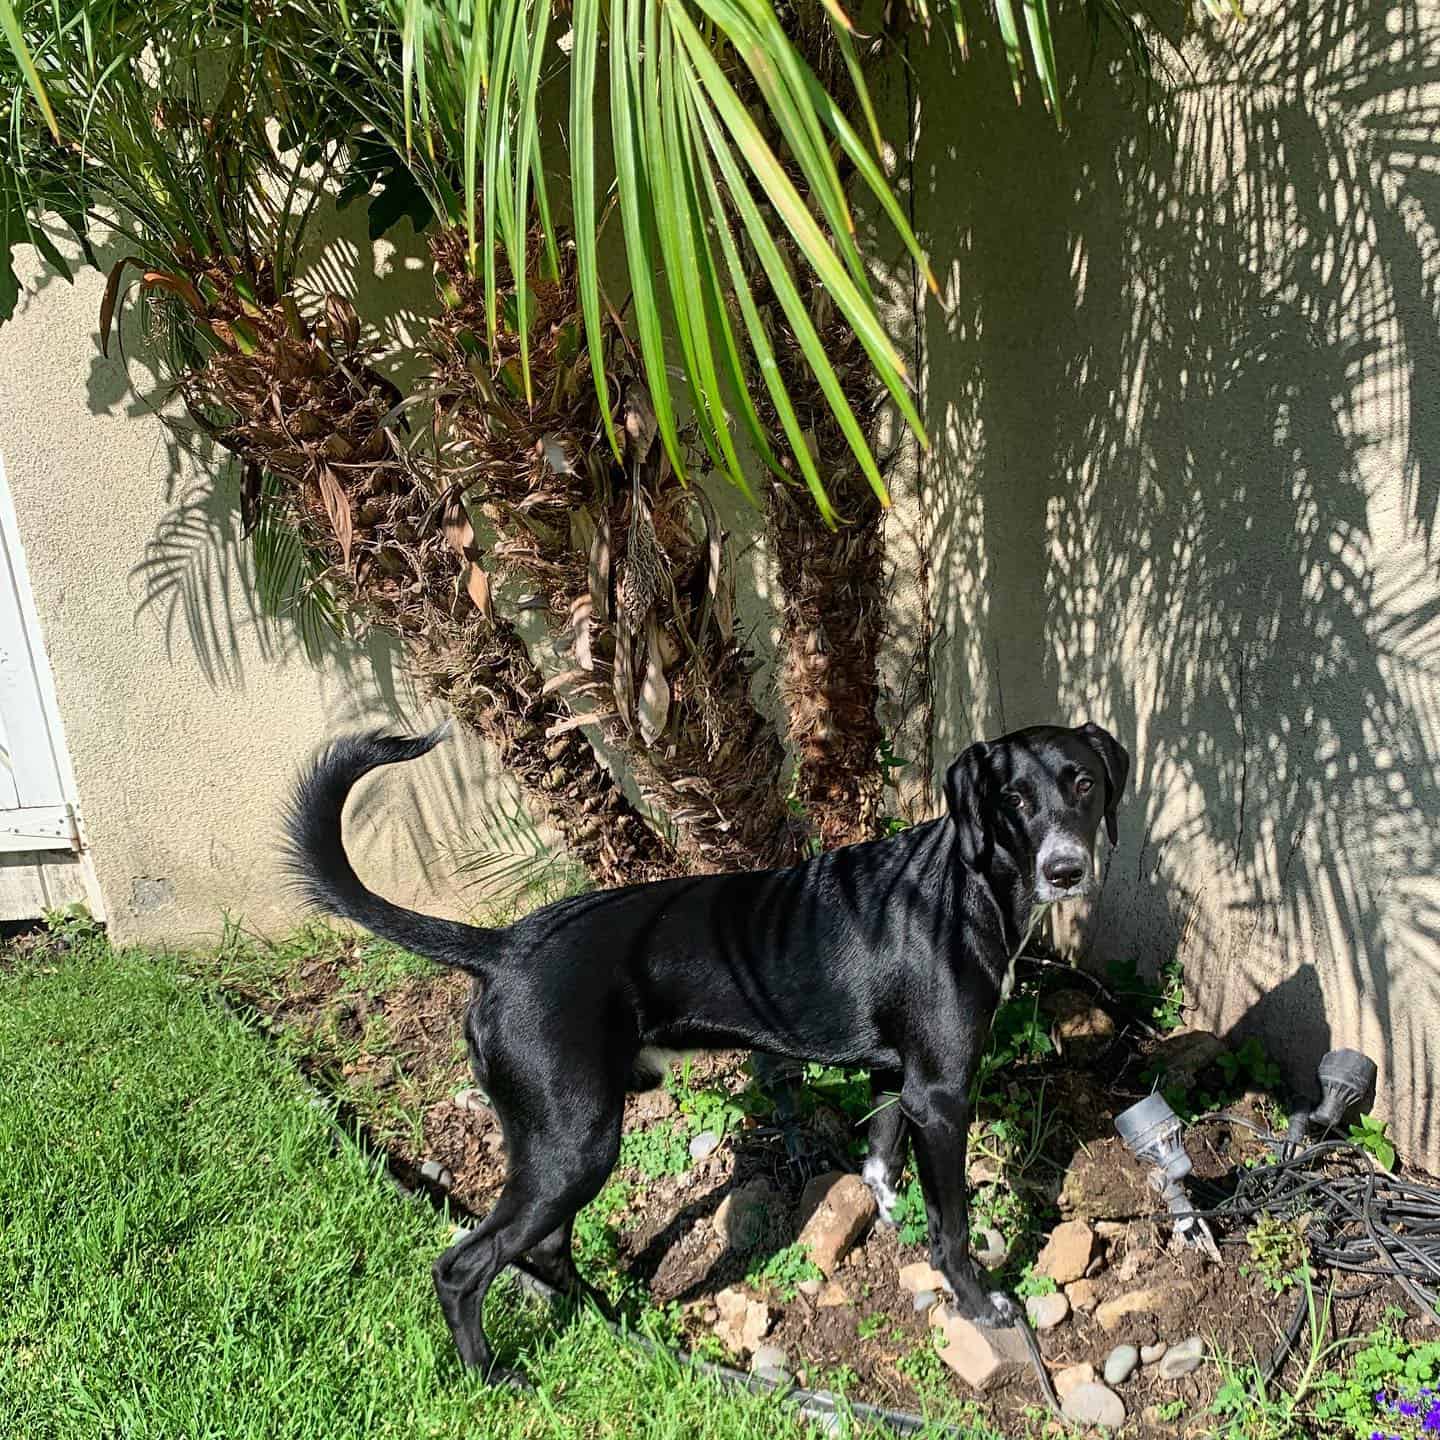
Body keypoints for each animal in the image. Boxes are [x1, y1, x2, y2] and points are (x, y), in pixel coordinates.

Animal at [289, 720, 1123, 1370]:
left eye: (1084, 783)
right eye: (1013, 800)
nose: (1066, 870)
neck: (966, 880)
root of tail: (503, 947)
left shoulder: (899, 1079)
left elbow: (881, 1161)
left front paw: (892, 1221)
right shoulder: (942, 1095)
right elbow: (951, 1226)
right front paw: (978, 1301)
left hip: (560, 1146)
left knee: (547, 1249)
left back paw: (608, 1323)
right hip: (573, 1143)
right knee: (464, 1267)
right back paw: (493, 1374)